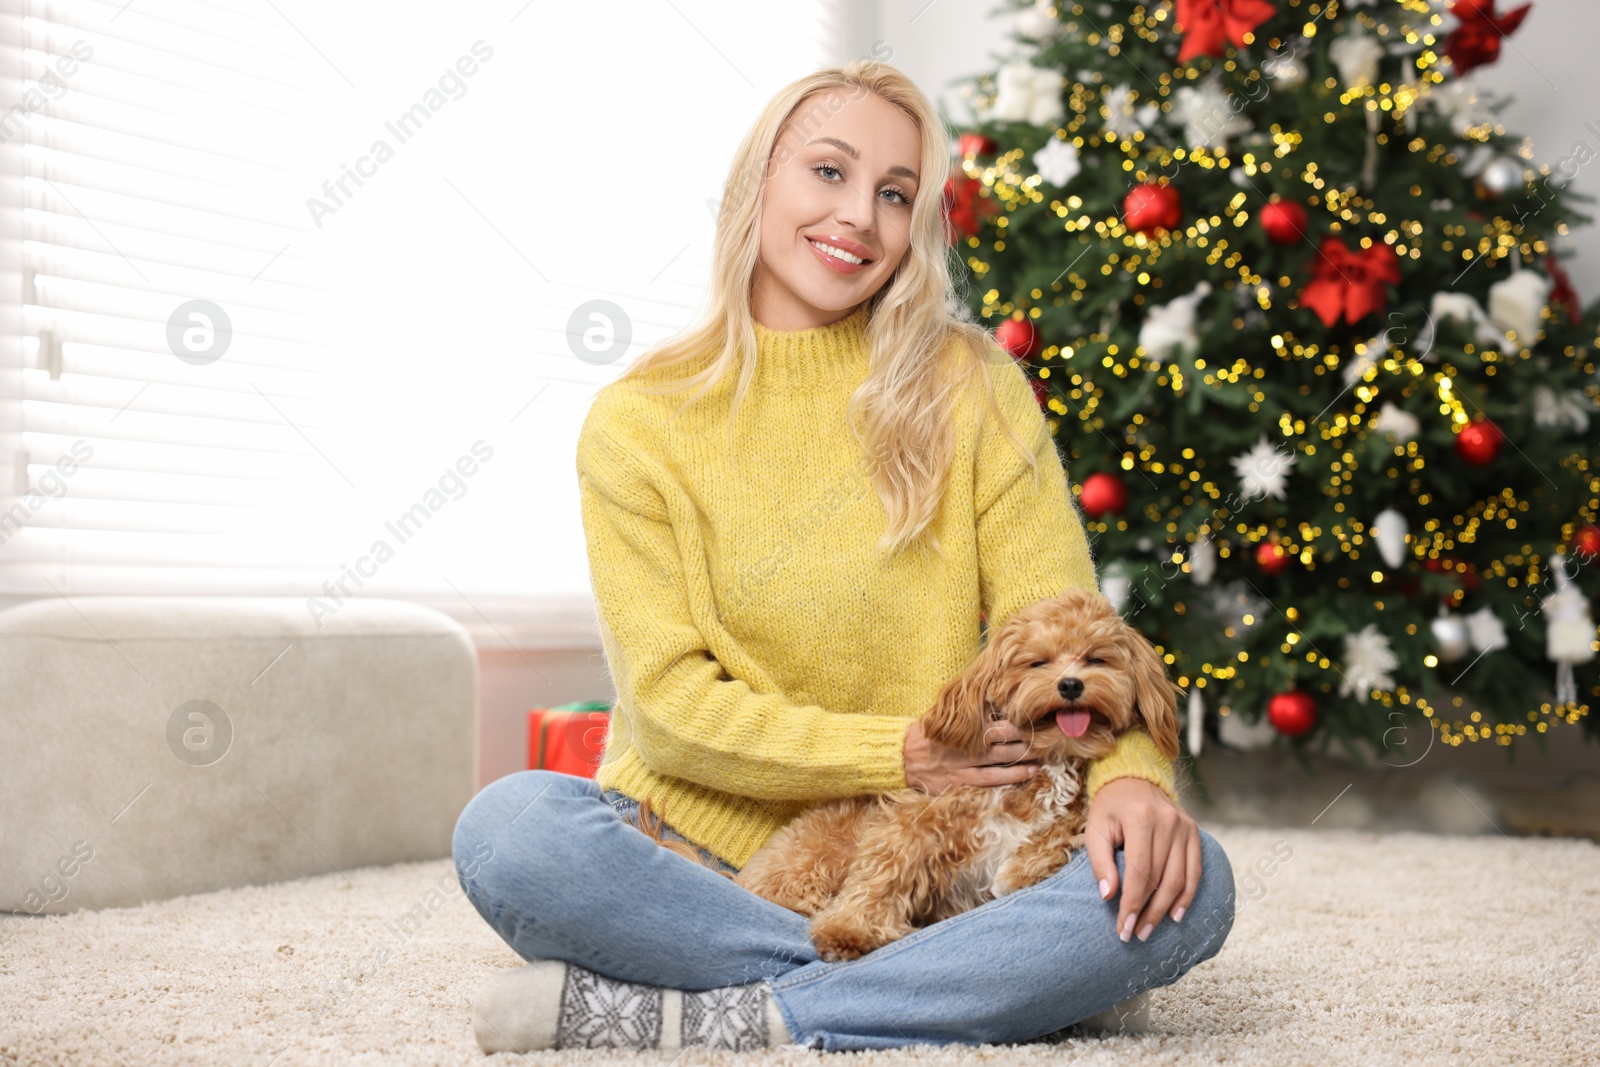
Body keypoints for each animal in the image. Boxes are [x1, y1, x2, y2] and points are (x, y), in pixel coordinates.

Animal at [630, 588, 1184, 966]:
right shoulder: (912, 823)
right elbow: (881, 879)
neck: (1044, 762)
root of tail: (742, 876)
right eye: (1037, 663)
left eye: (1096, 658)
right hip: (814, 860)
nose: (1070, 685)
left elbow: (1061, 833)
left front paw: (1025, 868)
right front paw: (848, 933)